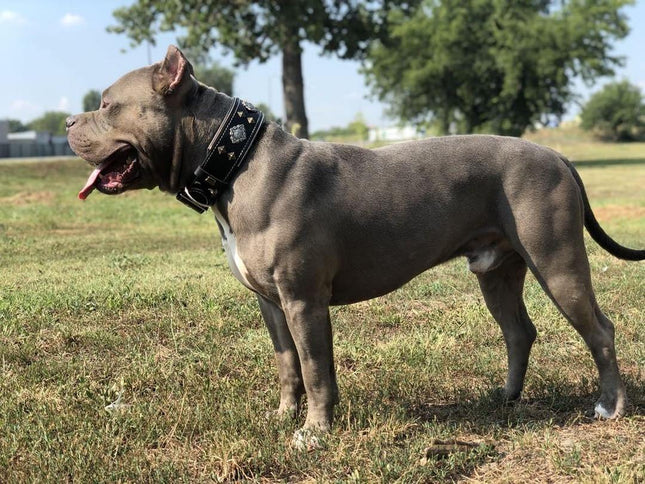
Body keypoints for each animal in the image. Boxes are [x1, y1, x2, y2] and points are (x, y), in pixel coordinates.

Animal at [68, 46, 640, 446]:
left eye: (106, 105)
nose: (70, 122)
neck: (233, 161)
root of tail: (558, 155)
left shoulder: (304, 301)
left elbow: (315, 368)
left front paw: (314, 434)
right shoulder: (272, 304)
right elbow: (291, 365)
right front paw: (285, 417)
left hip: (557, 263)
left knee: (600, 330)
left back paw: (610, 407)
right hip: (496, 271)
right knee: (519, 331)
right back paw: (505, 397)